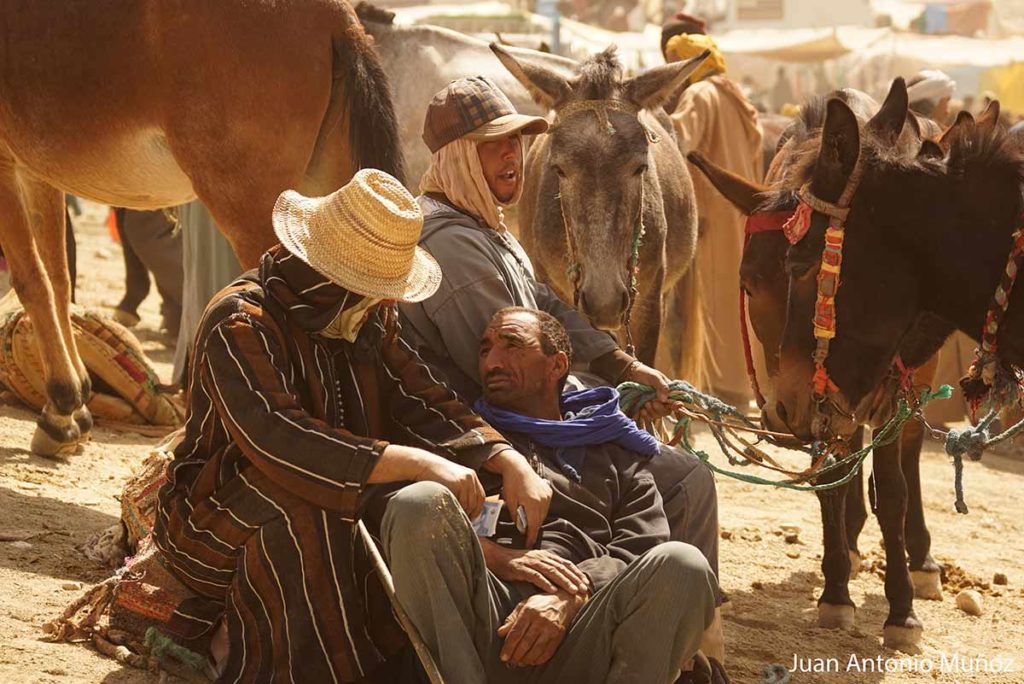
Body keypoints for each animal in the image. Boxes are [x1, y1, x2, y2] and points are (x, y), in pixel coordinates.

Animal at [1, 3, 403, 458]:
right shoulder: (36, 169)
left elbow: (32, 282)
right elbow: (59, 280)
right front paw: (73, 408)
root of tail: (337, 18)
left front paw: (63, 405)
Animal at [688, 88, 950, 651]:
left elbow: (892, 492)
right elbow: (832, 478)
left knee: (909, 452)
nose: (785, 416)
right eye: (749, 282)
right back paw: (849, 544)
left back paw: (919, 559)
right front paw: (835, 591)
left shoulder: (889, 389)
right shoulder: (823, 400)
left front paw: (901, 610)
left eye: (809, 272)